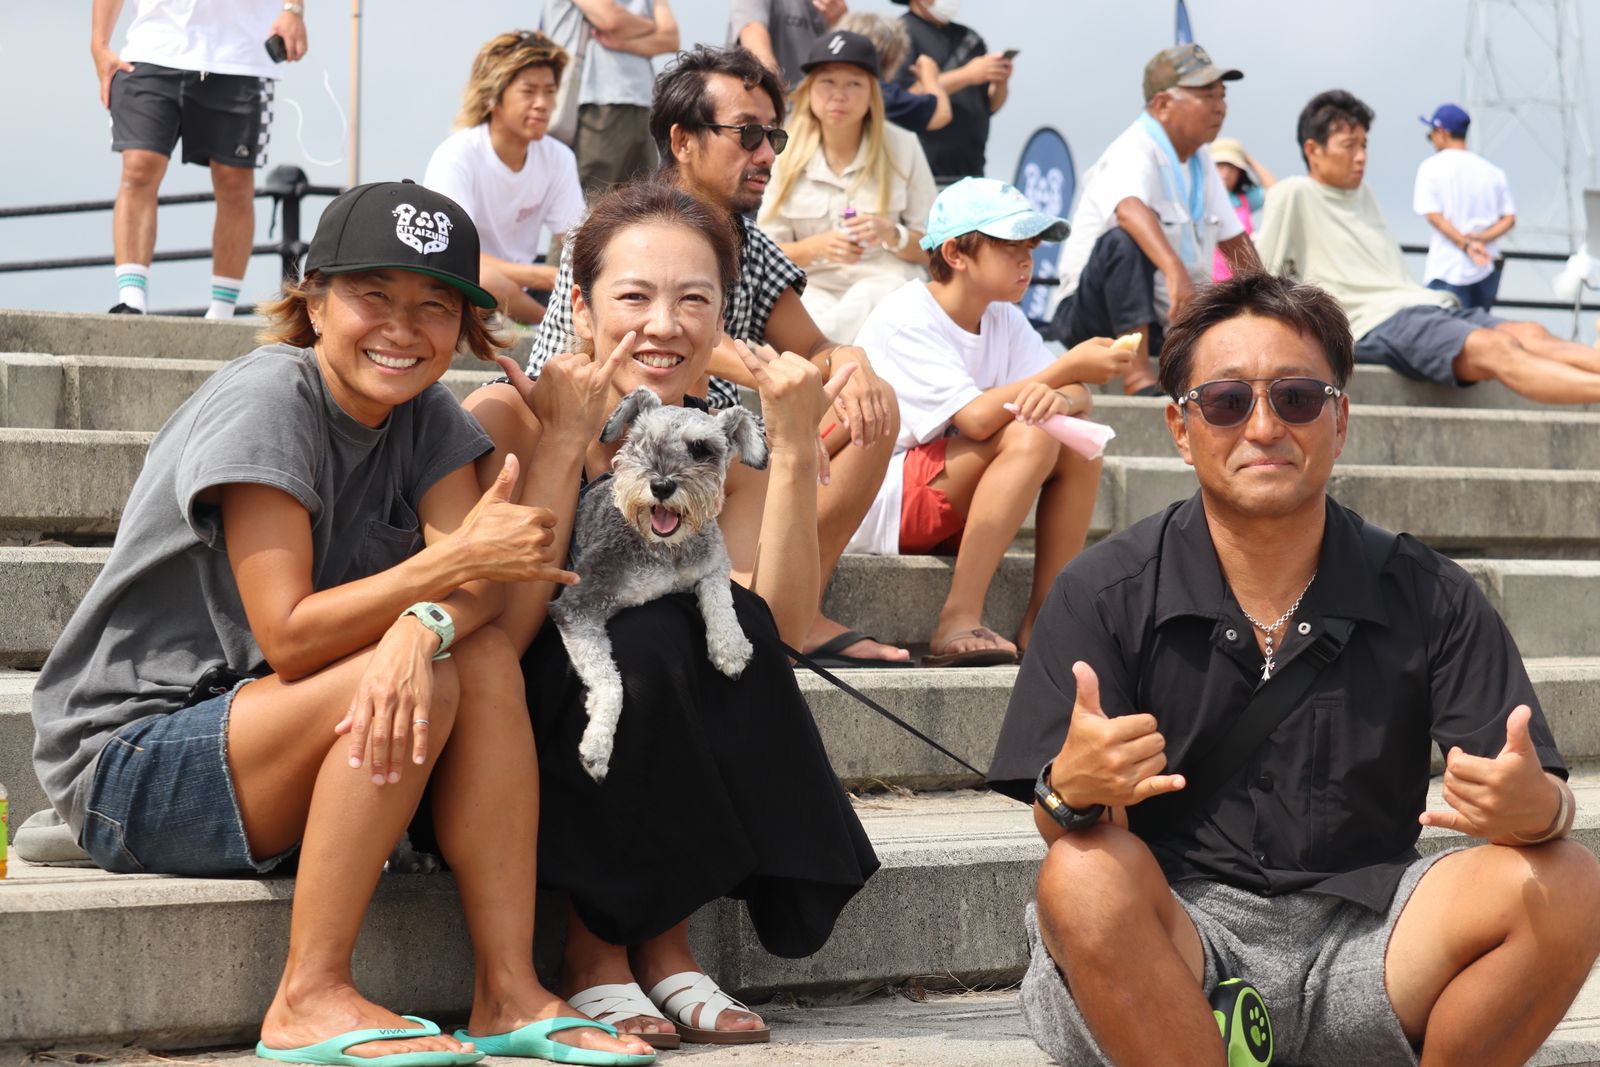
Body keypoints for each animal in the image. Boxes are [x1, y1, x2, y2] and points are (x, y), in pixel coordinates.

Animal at [550, 387, 770, 781]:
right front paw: (597, 746)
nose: (661, 485)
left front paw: (730, 647)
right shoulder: (577, 606)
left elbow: (720, 597)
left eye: (701, 448)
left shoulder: (714, 562)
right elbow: (609, 681)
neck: (665, 549)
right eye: (641, 441)